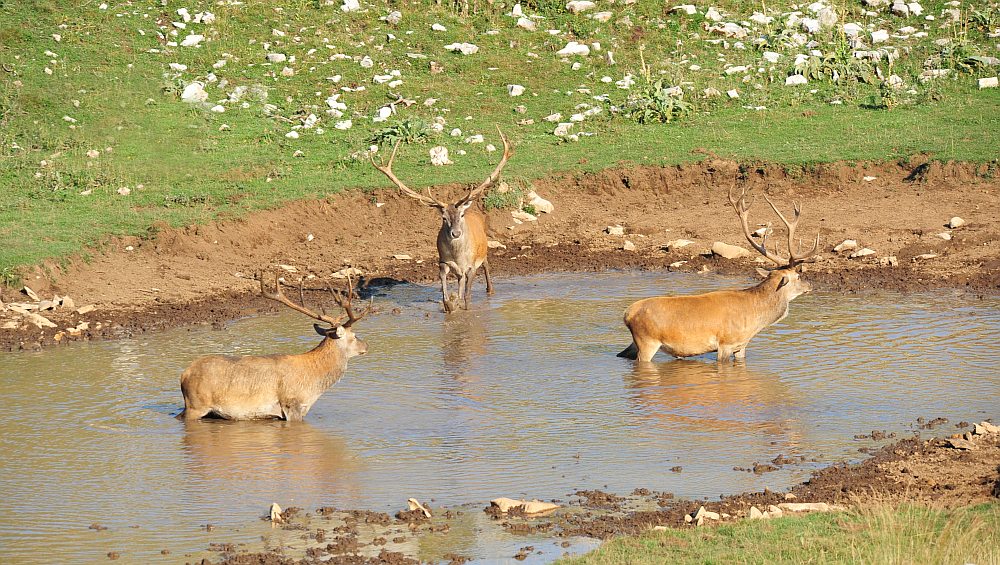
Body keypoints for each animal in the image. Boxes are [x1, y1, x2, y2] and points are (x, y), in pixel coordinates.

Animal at [180, 274, 372, 418]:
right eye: (354, 336)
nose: (367, 345)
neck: (314, 384)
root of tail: (184, 375)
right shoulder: (291, 403)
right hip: (196, 405)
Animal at [376, 129, 516, 312]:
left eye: (461, 215)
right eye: (443, 217)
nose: (455, 233)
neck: (458, 255)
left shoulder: (471, 266)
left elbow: (467, 295)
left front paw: (463, 307)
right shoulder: (443, 261)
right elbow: (445, 283)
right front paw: (449, 303)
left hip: (483, 251)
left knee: (486, 265)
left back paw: (490, 290)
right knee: (460, 280)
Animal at [616, 185, 820, 362]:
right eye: (798, 276)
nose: (811, 285)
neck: (755, 318)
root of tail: (627, 314)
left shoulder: (741, 345)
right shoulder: (726, 343)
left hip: (635, 343)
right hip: (647, 341)